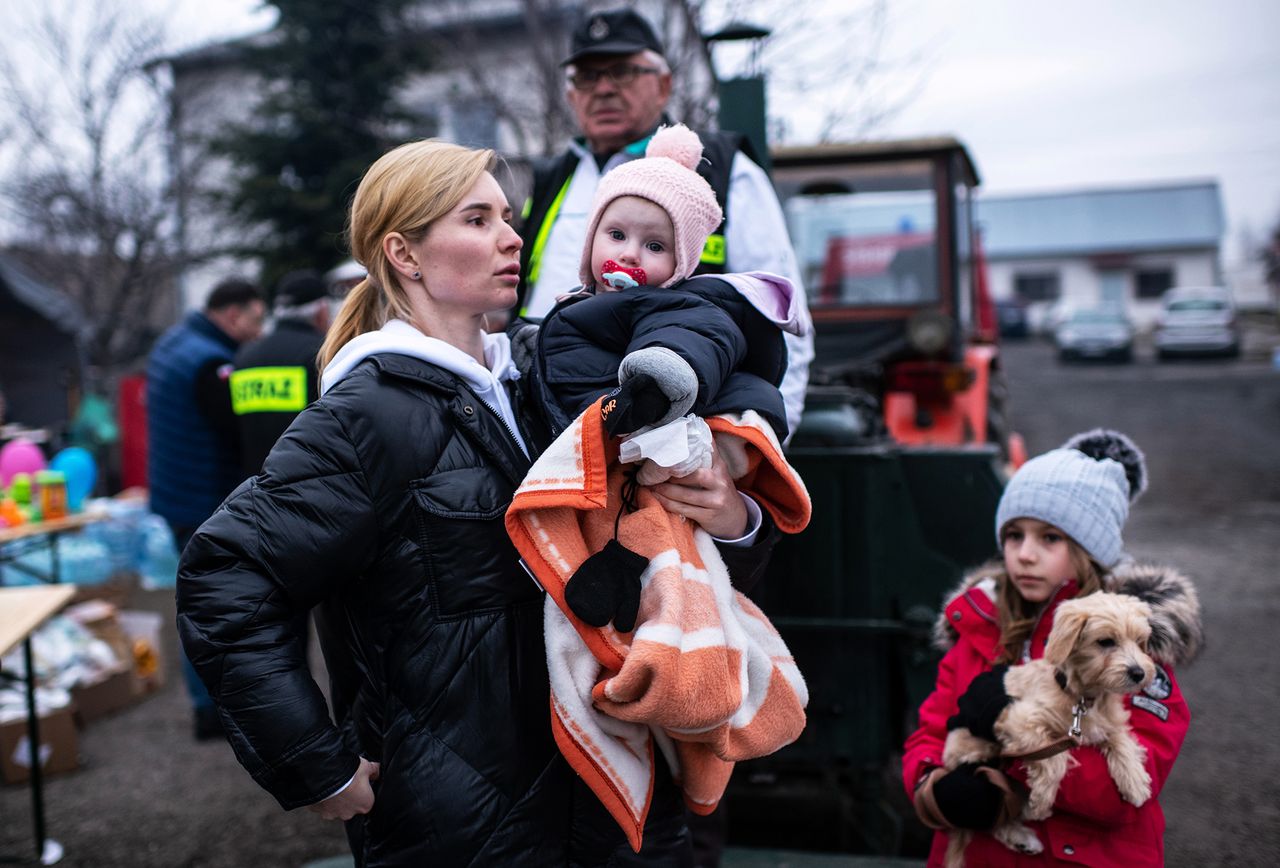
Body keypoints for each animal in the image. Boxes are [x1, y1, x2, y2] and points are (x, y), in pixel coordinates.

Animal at [942, 594, 1162, 865]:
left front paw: (1135, 781)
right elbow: (1055, 759)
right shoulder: (1019, 719)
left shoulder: (1108, 725)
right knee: (992, 817)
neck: (1084, 700)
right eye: (1105, 642)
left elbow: (1122, 741)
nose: (1139, 673)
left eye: (1139, 641)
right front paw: (1042, 800)